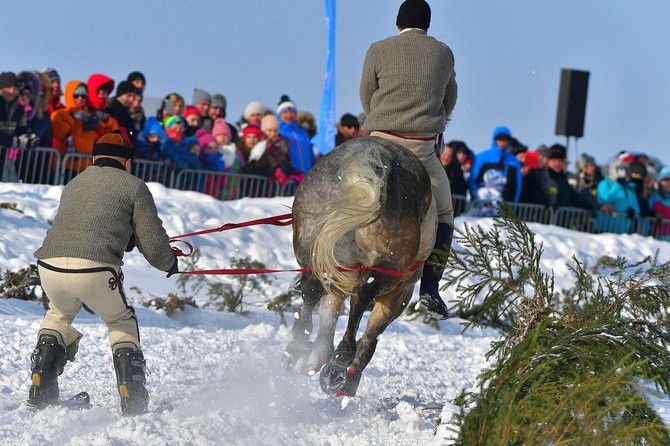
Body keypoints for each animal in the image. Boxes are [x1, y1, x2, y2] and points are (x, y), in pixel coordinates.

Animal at [284, 136, 436, 398]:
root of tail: (372, 154)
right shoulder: (398, 296)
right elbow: (370, 338)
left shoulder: (336, 279)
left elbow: (328, 317)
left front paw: (315, 357)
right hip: (388, 266)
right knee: (363, 295)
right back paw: (339, 364)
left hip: (313, 247)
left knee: (311, 289)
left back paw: (299, 346)